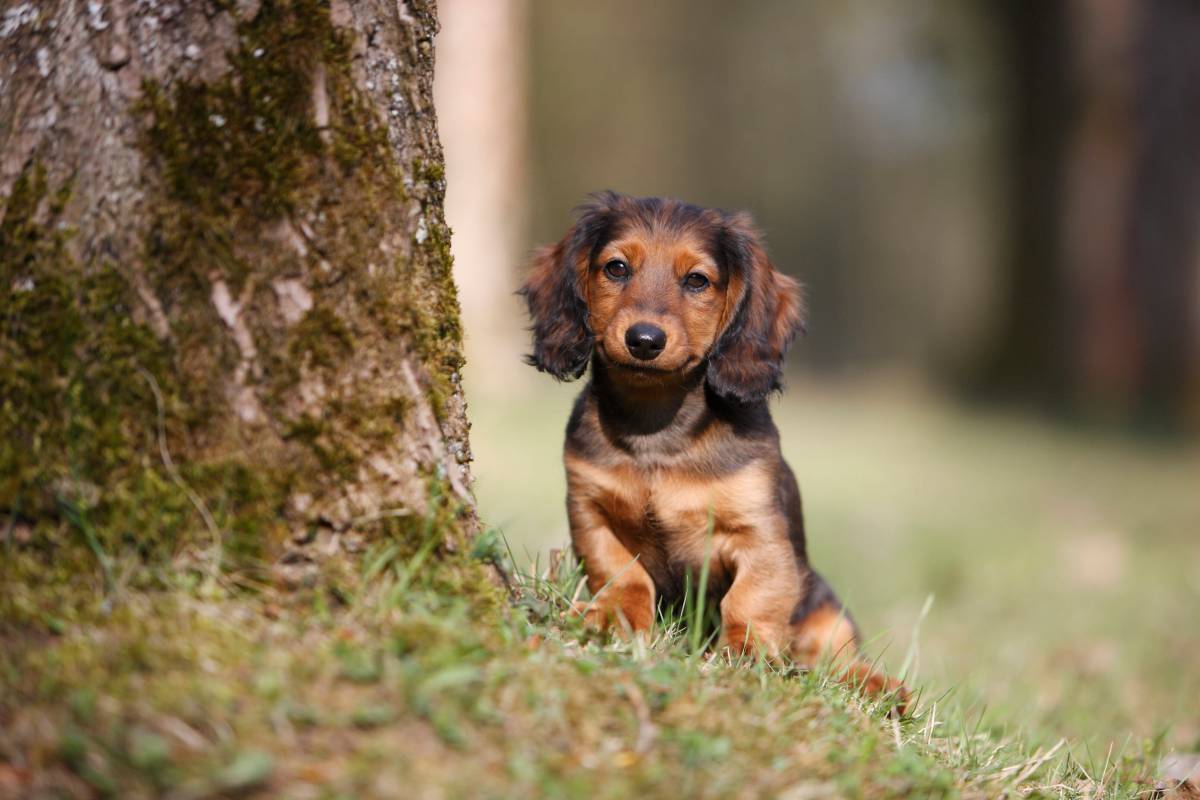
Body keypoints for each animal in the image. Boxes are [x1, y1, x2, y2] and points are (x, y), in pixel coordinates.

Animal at [520, 190, 902, 705]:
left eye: (697, 280)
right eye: (616, 268)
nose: (644, 340)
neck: (657, 430)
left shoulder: (759, 535)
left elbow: (751, 599)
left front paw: (745, 652)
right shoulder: (589, 509)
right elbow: (622, 573)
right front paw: (613, 616)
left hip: (824, 606)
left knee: (835, 660)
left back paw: (882, 687)